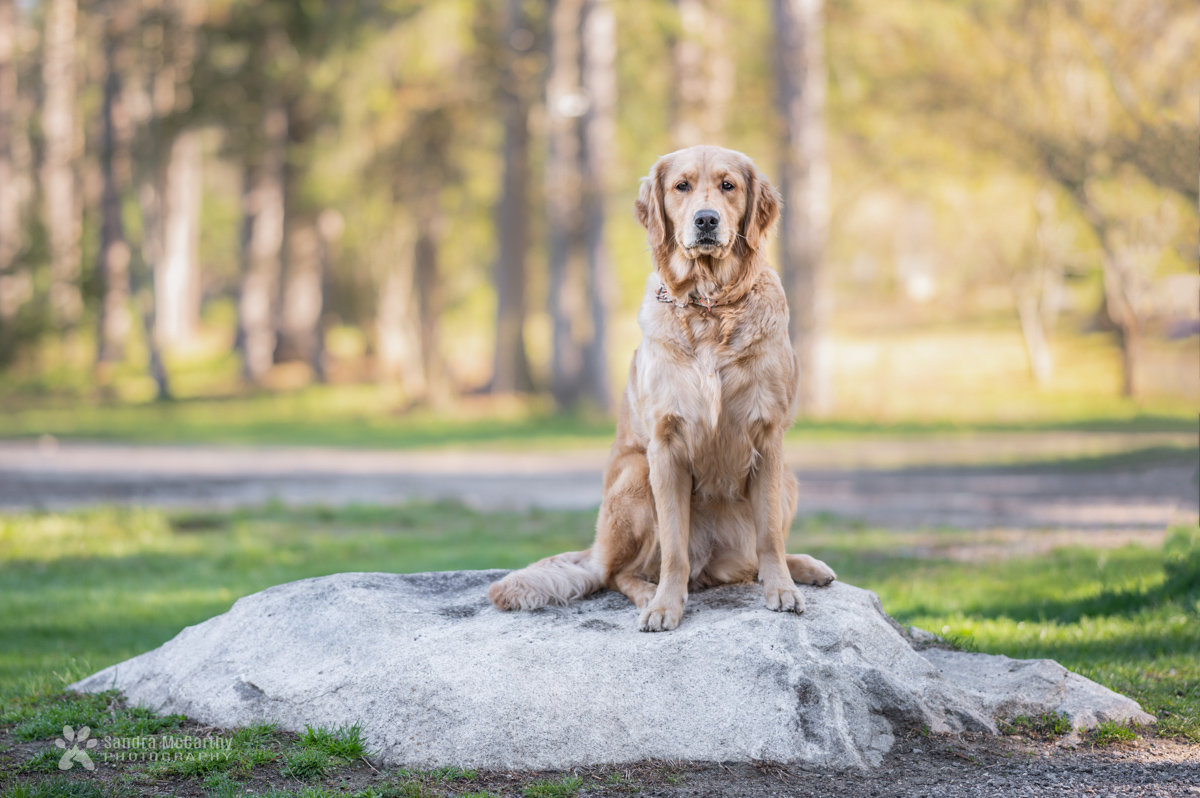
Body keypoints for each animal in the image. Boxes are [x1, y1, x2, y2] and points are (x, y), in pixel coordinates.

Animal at [487, 143, 835, 628]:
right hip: (635, 474)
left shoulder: (768, 437)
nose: (706, 220)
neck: (710, 306)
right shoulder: (665, 444)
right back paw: (648, 594)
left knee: (752, 559)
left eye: (728, 185)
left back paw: (803, 567)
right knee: (616, 573)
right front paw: (667, 604)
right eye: (681, 186)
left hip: (789, 478)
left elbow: (769, 536)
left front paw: (781, 588)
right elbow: (673, 546)